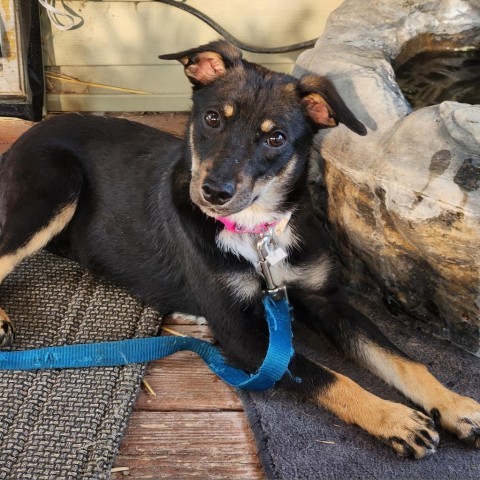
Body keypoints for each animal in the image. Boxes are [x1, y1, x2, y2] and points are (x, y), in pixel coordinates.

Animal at [0, 41, 480, 458]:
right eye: (213, 118)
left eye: (276, 138)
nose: (213, 193)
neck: (256, 231)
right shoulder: (243, 334)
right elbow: (329, 376)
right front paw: (395, 418)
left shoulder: (326, 299)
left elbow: (401, 359)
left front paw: (456, 405)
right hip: (55, 186)